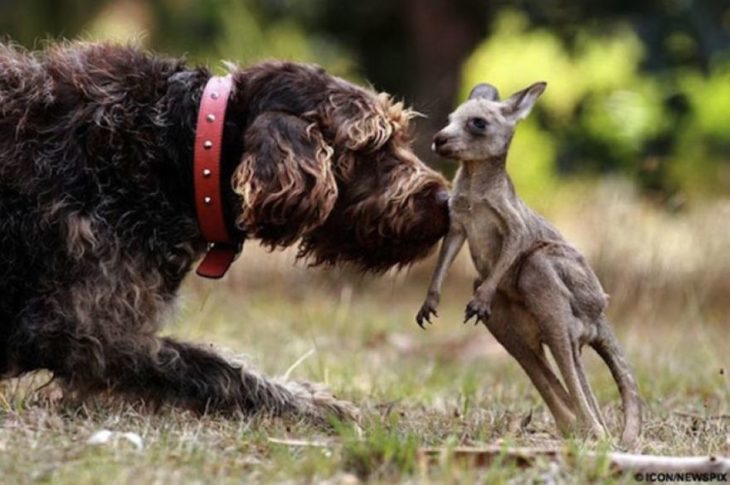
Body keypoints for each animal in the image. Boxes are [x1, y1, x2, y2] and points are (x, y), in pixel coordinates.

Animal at [0, 41, 450, 420]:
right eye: (372, 145)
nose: (445, 200)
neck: (183, 148)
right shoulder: (85, 331)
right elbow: (216, 368)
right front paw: (313, 404)